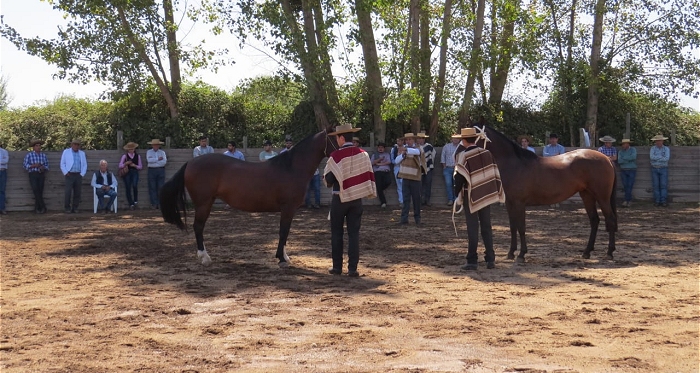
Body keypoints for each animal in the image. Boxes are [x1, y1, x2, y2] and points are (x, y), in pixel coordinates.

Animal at [159, 129, 336, 266]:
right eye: (336, 138)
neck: (291, 168)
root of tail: (190, 163)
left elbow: (284, 233)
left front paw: (284, 256)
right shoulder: (288, 208)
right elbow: (283, 232)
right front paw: (282, 258)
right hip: (204, 203)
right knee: (198, 227)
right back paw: (205, 258)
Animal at [476, 126, 616, 264]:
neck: (515, 164)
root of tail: (606, 158)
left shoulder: (519, 203)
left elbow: (521, 227)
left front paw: (521, 255)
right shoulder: (510, 203)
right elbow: (513, 227)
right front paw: (510, 253)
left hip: (602, 197)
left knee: (610, 219)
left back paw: (609, 253)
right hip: (587, 195)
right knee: (594, 220)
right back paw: (587, 252)